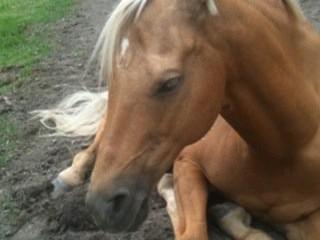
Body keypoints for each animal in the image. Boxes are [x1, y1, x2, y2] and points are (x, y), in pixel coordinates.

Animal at [33, 0, 320, 239]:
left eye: (170, 82)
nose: (102, 207)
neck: (287, 150)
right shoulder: (187, 162)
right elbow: (193, 233)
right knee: (93, 146)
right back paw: (68, 176)